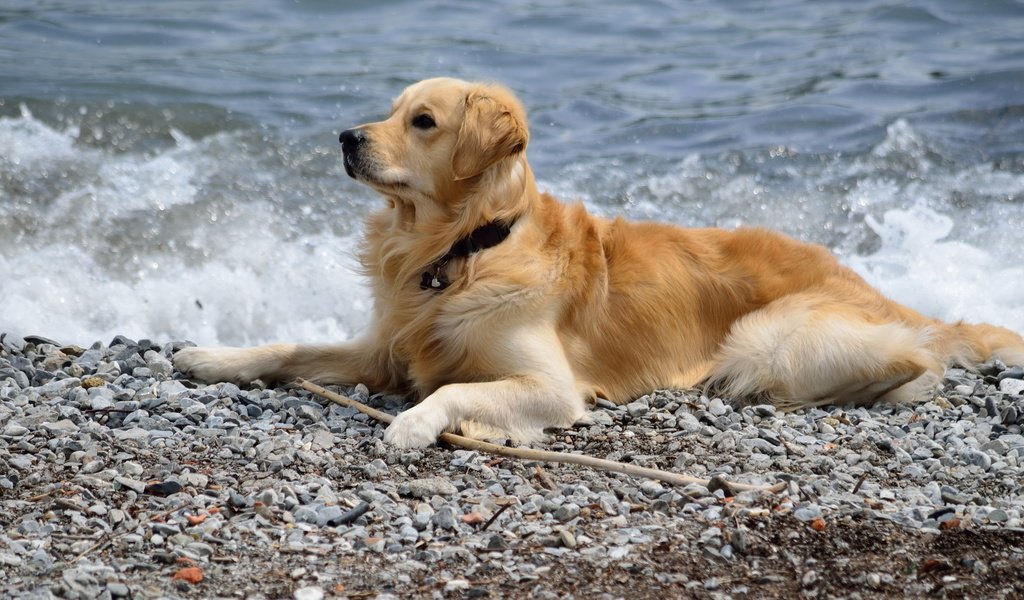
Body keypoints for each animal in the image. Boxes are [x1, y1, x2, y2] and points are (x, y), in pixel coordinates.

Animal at [176, 75, 1024, 444]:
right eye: (387, 112)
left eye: (420, 121)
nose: (347, 137)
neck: (466, 246)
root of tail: (873, 286)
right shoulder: (384, 347)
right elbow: (289, 346)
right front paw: (210, 358)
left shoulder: (548, 385)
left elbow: (453, 391)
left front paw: (415, 424)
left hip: (769, 339)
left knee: (920, 362)